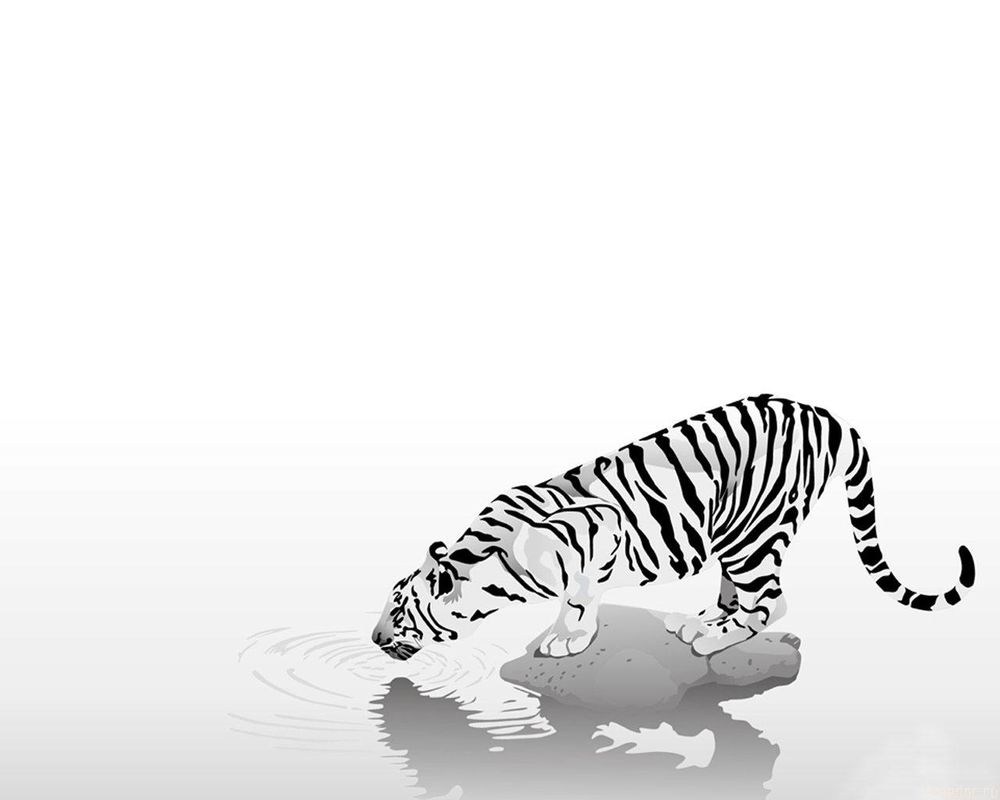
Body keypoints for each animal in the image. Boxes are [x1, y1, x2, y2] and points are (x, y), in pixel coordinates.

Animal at [372, 395, 976, 661]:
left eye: (399, 610)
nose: (374, 638)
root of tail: (823, 413)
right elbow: (580, 595)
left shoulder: (600, 528)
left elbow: (580, 595)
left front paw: (569, 638)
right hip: (736, 533)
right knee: (744, 593)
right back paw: (703, 617)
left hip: (753, 534)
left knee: (771, 602)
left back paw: (713, 637)